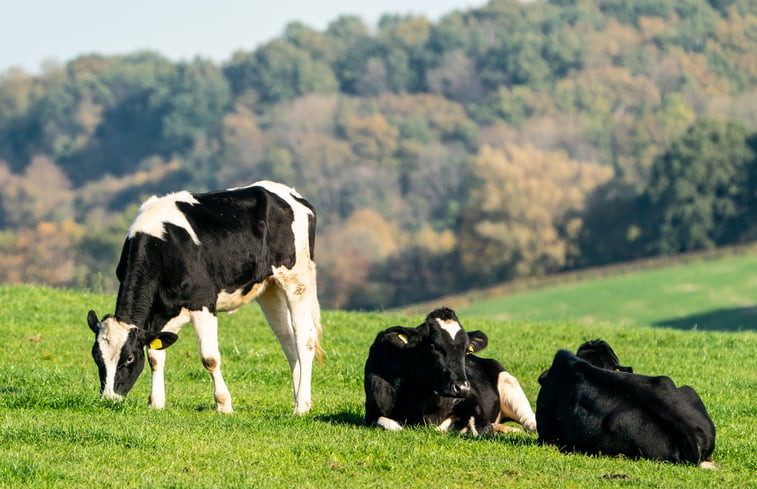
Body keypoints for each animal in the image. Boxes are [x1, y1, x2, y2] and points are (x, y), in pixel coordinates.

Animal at [86, 179, 322, 412]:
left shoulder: (203, 301)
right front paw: (156, 402)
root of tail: (291, 194)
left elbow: (209, 358)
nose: (108, 398)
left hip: (297, 280)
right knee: (287, 341)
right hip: (270, 288)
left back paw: (301, 406)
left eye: (129, 358)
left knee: (305, 338)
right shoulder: (163, 311)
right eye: (96, 357)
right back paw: (303, 400)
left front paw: (223, 404)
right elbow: (155, 355)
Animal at [364, 308, 536, 434]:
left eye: (466, 351)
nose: (462, 388)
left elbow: (479, 427)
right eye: (434, 346)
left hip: (508, 382)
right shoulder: (373, 412)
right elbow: (392, 425)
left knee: (530, 421)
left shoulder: (473, 400)